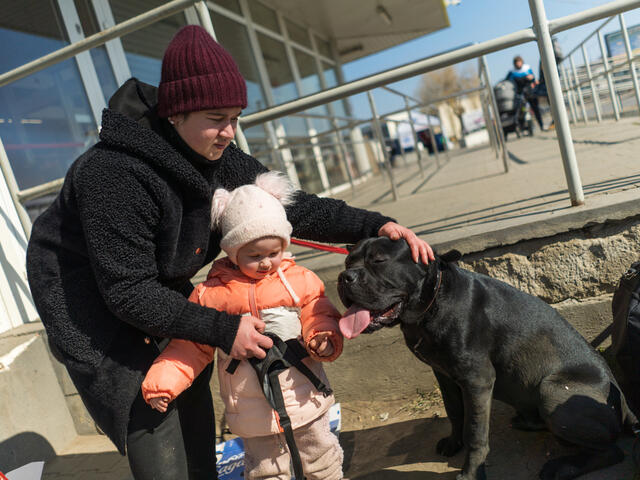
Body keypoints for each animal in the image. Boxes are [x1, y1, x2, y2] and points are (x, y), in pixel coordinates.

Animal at [338, 237, 636, 480]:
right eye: (348, 261)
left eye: (379, 261)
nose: (344, 277)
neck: (432, 304)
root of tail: (625, 405)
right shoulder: (444, 375)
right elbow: (454, 410)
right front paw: (453, 442)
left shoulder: (477, 380)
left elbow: (475, 432)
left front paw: (471, 473)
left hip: (552, 390)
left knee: (612, 451)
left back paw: (563, 467)